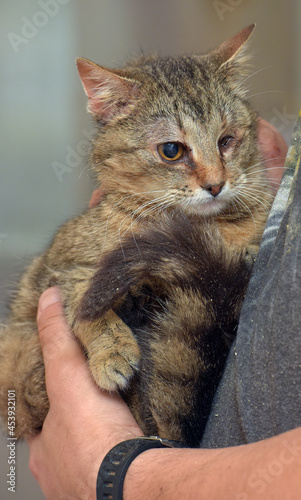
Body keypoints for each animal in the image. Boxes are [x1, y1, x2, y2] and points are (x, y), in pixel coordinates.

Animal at [0, 23, 272, 446]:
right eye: (172, 150)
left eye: (227, 140)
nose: (216, 185)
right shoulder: (60, 271)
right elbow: (84, 299)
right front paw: (112, 348)